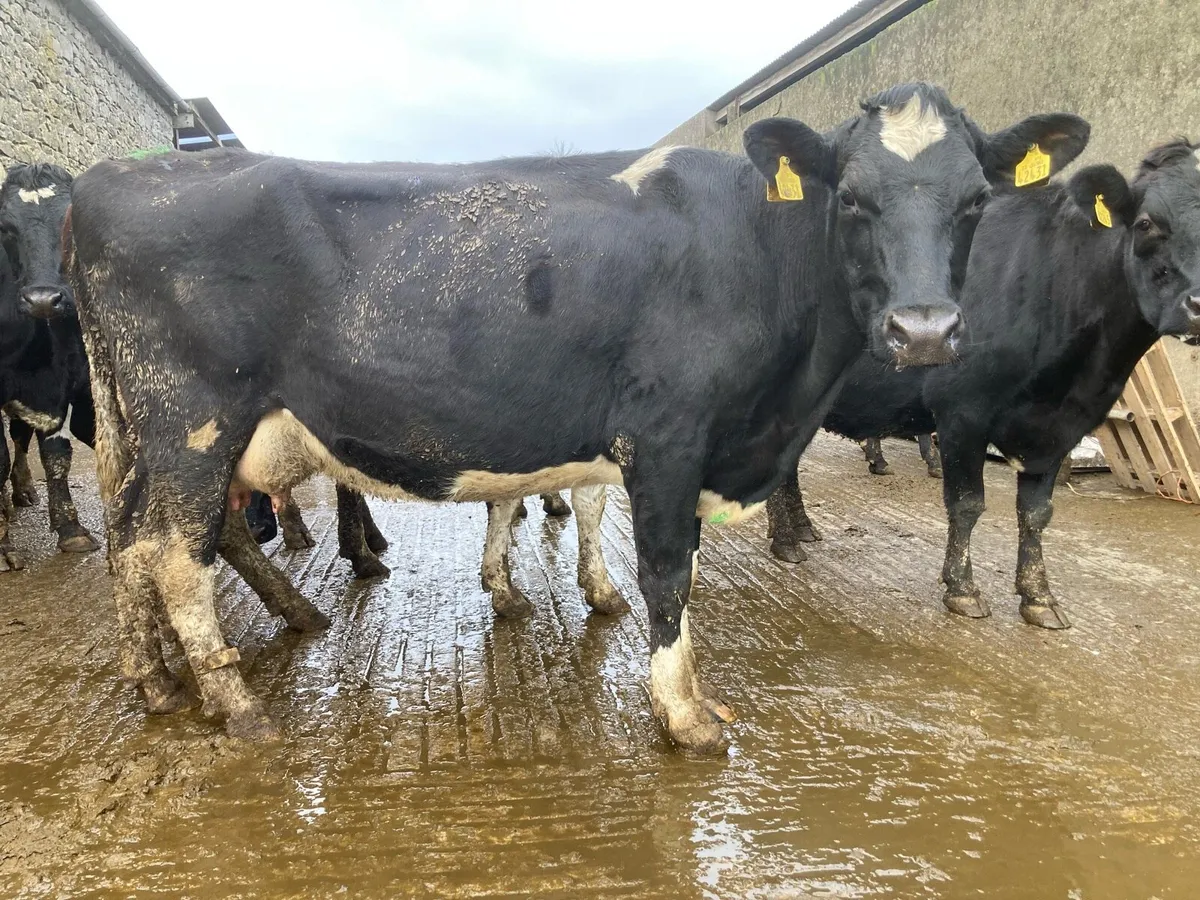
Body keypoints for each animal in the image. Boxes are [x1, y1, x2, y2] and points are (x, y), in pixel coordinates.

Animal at [66, 82, 1087, 751]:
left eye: (976, 202)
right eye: (854, 198)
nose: (925, 330)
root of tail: (109, 180)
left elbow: (590, 516)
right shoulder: (670, 438)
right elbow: (668, 574)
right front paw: (685, 714)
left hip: (144, 433)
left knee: (131, 542)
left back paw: (158, 681)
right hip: (192, 423)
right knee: (175, 554)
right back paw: (236, 707)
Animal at [768, 138, 1200, 629]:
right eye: (1146, 223)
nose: (1198, 305)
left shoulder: (1062, 426)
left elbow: (1037, 513)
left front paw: (1038, 596)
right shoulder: (962, 409)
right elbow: (967, 503)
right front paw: (962, 588)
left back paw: (801, 529)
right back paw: (786, 541)